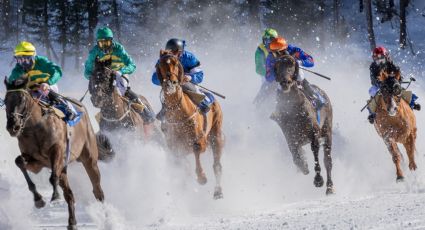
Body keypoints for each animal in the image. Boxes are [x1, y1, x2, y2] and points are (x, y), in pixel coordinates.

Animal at [3, 77, 106, 230]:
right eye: (5, 100)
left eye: (22, 98)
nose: (12, 126)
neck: (36, 127)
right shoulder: (37, 162)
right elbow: (19, 161)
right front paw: (38, 199)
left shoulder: (57, 151)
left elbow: (52, 177)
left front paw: (56, 197)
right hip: (63, 167)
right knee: (69, 194)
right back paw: (72, 222)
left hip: (89, 158)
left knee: (97, 189)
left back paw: (106, 215)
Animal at [154, 49, 224, 199]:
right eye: (160, 64)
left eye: (175, 63)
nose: (170, 83)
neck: (179, 113)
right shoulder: (174, 146)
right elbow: (181, 164)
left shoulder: (201, 140)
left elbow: (197, 149)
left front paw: (202, 177)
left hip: (216, 133)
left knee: (217, 165)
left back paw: (218, 191)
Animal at [270, 54, 332, 195]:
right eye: (277, 66)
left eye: (292, 65)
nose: (285, 82)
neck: (294, 111)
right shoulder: (290, 137)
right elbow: (295, 156)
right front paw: (304, 166)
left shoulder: (314, 133)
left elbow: (316, 154)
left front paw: (318, 180)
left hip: (327, 130)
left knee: (327, 160)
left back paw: (330, 187)